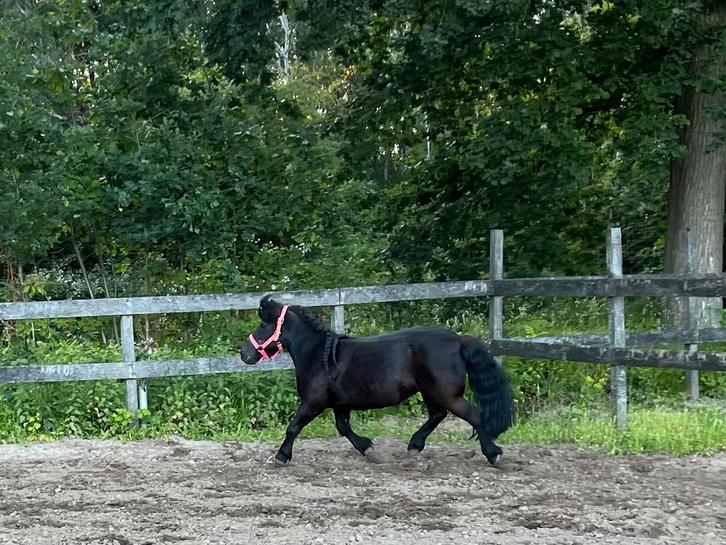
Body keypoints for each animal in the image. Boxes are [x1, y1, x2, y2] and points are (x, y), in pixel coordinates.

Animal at [240, 295, 514, 467]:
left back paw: (493, 455)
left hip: (447, 394)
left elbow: (293, 427)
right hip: (430, 391)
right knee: (437, 415)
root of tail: (458, 340)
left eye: (264, 325)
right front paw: (368, 449)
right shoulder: (339, 404)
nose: (244, 353)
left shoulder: (313, 403)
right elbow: (344, 429)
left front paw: (281, 456)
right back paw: (415, 445)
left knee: (474, 415)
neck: (320, 355)